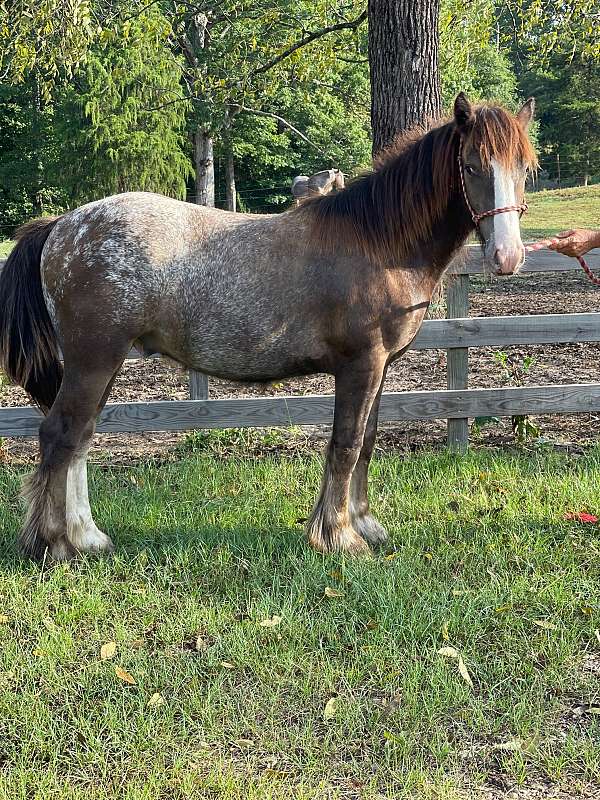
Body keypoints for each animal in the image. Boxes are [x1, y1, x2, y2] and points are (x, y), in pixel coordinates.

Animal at [0, 94, 536, 560]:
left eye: (523, 170)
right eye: (472, 166)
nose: (507, 257)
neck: (377, 242)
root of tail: (62, 226)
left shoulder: (380, 369)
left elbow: (366, 442)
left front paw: (362, 524)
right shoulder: (360, 366)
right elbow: (346, 444)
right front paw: (339, 536)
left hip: (102, 363)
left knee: (81, 438)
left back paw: (88, 537)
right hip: (94, 359)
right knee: (60, 435)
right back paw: (54, 545)